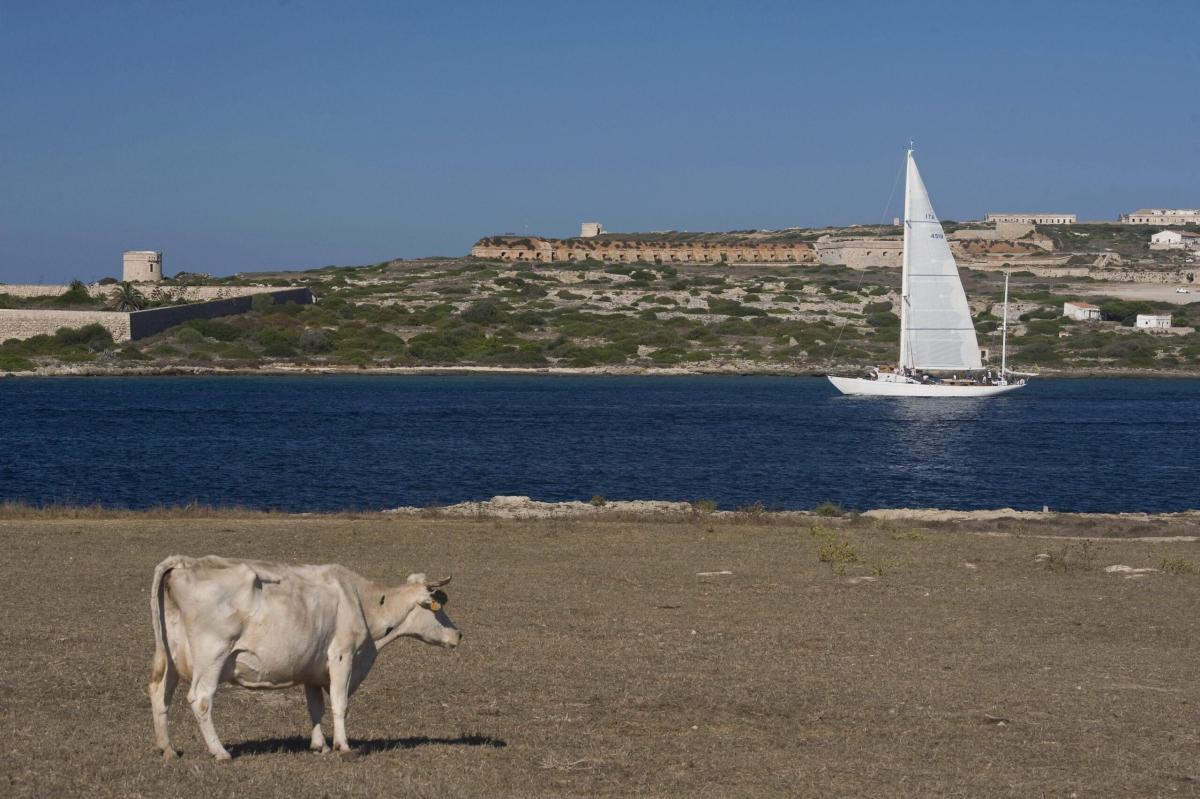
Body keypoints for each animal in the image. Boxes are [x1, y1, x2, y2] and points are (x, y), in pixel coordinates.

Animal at [150, 551, 458, 758]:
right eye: (438, 607)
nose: (458, 635)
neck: (361, 601)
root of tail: (185, 562)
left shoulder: (312, 667)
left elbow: (315, 707)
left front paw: (319, 745)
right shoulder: (342, 656)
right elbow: (339, 703)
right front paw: (344, 746)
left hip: (170, 657)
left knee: (159, 694)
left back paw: (167, 749)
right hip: (212, 656)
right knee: (201, 699)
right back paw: (220, 751)